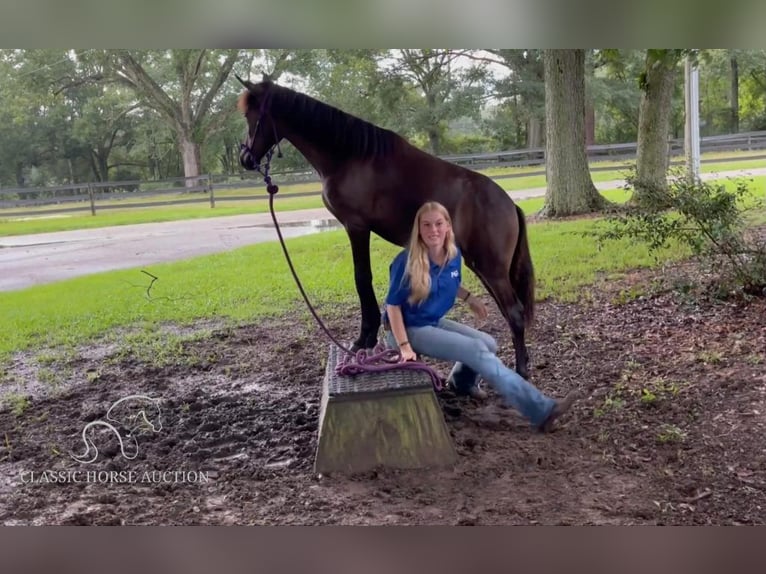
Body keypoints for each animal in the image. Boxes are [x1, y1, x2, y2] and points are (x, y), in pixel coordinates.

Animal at [237, 77, 536, 382]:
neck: (349, 156)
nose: (245, 158)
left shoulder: (356, 226)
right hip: (484, 267)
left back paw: (521, 372)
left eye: (252, 116)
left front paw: (363, 339)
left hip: (490, 267)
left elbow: (362, 279)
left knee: (514, 313)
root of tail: (509, 204)